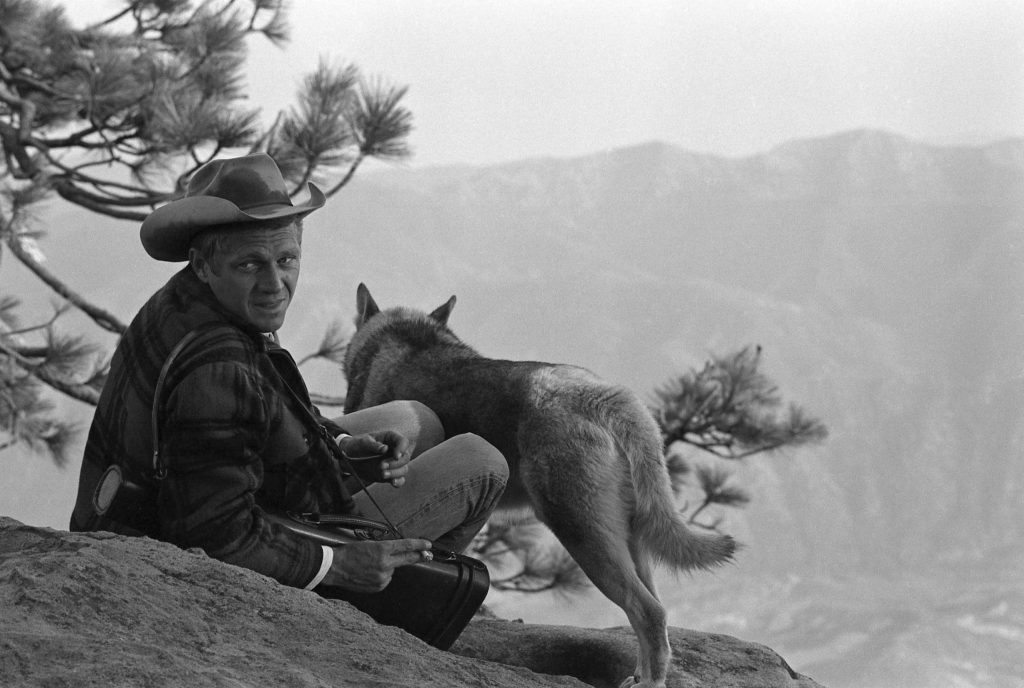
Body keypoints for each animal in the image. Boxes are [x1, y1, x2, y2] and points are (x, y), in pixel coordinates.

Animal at [344, 282, 737, 683]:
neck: (406, 339)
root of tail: (605, 399)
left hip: (580, 531)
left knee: (648, 611)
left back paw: (650, 683)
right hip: (630, 536)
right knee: (654, 609)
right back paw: (638, 676)